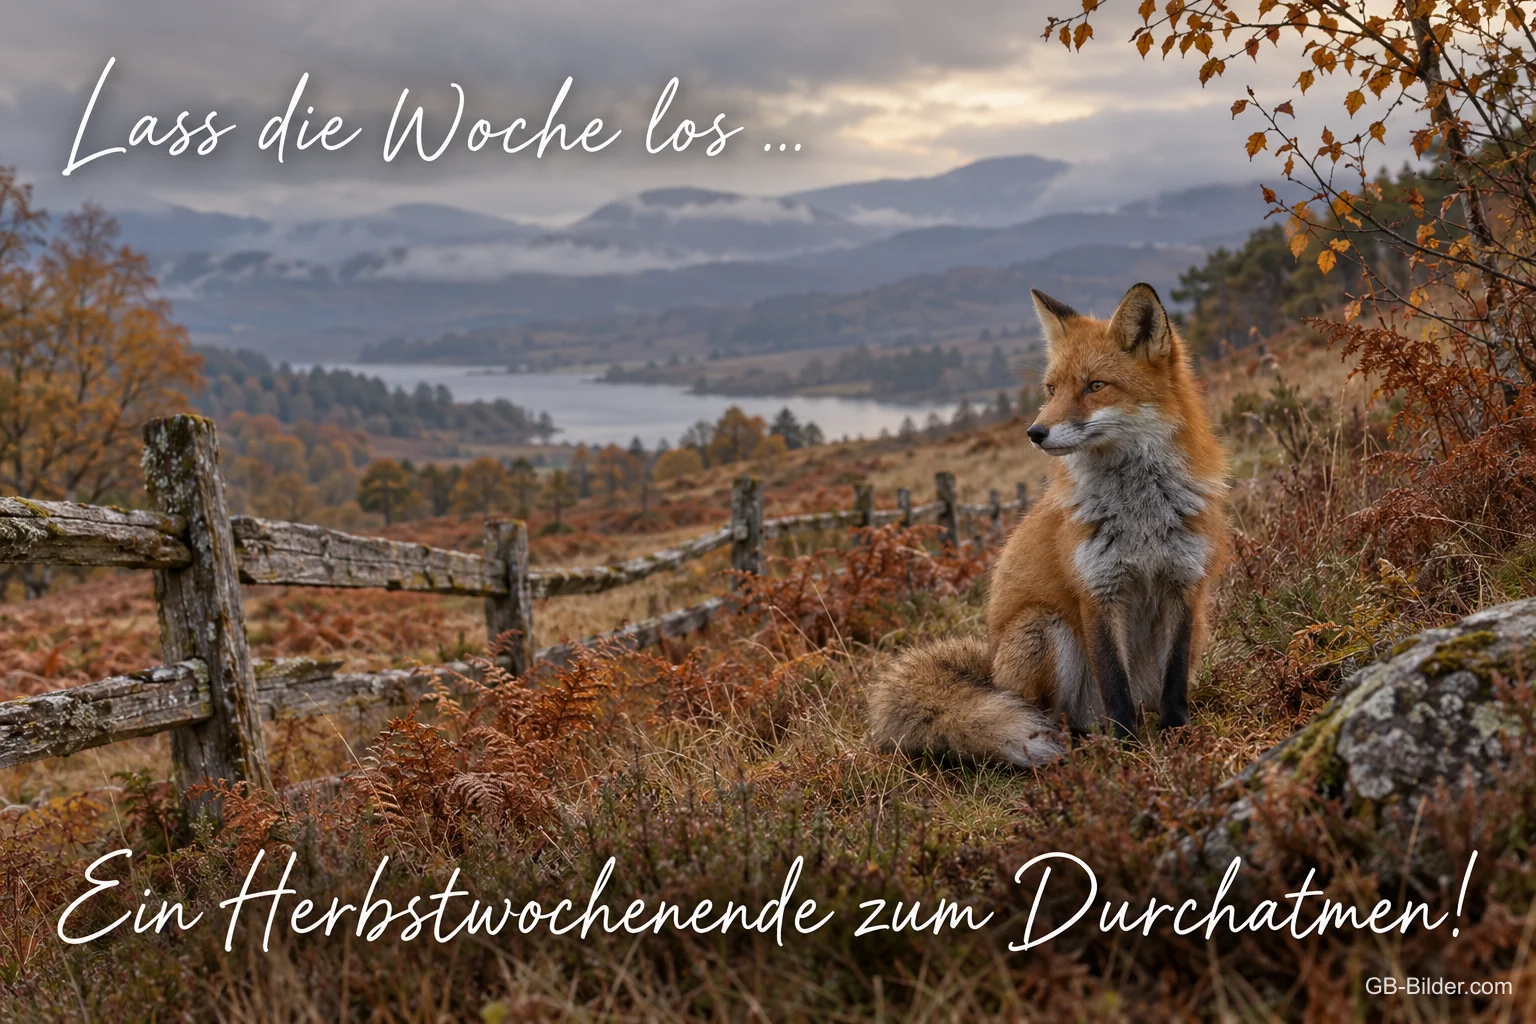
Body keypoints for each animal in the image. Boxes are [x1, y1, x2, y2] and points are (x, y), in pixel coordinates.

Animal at [867, 282, 1230, 765]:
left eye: (1095, 386)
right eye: (1051, 388)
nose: (1034, 432)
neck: (1141, 515)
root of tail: (992, 666)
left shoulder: (1185, 585)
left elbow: (1174, 686)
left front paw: (1179, 738)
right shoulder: (1097, 591)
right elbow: (1115, 688)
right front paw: (1128, 753)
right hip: (1043, 629)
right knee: (1047, 715)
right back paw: (1074, 746)